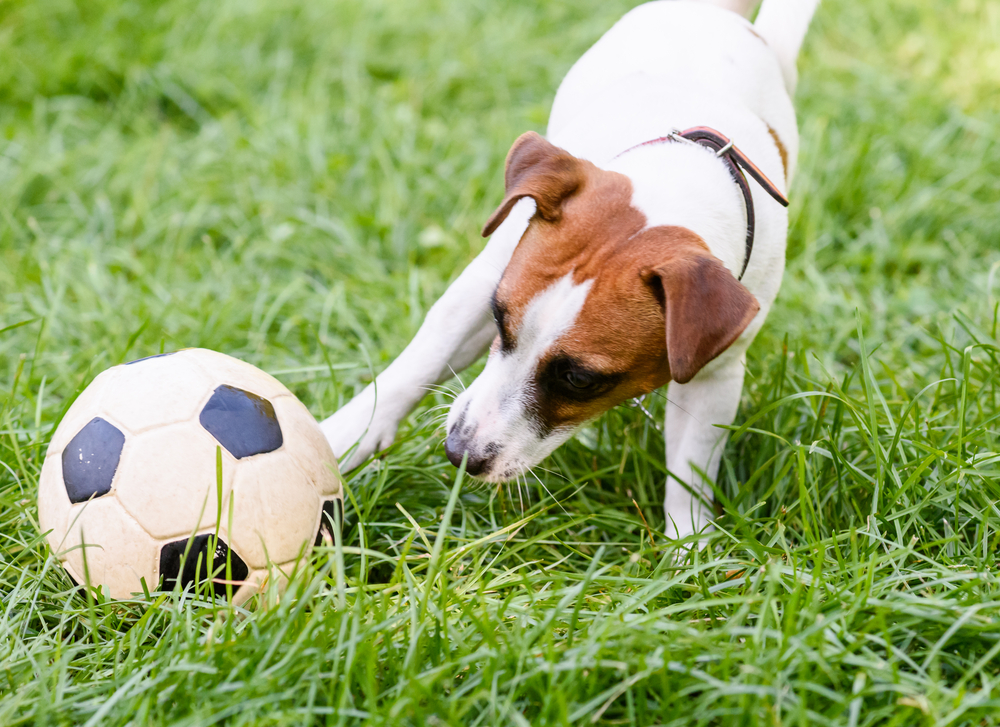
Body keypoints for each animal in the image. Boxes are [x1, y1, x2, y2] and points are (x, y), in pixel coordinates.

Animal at [322, 0, 820, 540]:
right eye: (499, 318)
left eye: (580, 379)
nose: (458, 454)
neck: (686, 180)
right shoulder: (480, 287)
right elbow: (416, 366)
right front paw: (343, 437)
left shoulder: (717, 373)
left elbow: (690, 471)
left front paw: (688, 548)